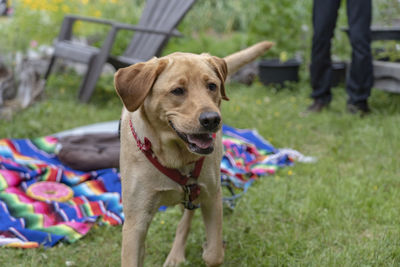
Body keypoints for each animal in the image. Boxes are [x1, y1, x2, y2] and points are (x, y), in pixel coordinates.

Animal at [114, 40, 274, 266]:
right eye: (178, 90)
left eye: (212, 86)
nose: (212, 119)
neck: (174, 157)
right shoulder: (136, 220)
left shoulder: (212, 196)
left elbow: (214, 254)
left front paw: (210, 250)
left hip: (195, 193)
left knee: (186, 219)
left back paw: (176, 254)